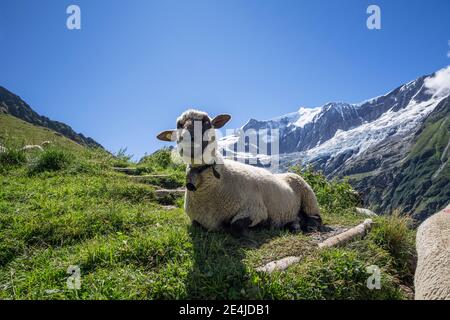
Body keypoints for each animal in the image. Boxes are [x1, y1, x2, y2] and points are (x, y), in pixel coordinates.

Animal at [156, 109, 322, 236]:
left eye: (207, 122)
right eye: (179, 125)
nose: (189, 142)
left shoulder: (256, 209)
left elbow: (235, 227)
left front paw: (261, 226)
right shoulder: (195, 219)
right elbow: (195, 225)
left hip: (308, 196)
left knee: (316, 217)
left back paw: (307, 225)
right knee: (298, 217)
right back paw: (294, 224)